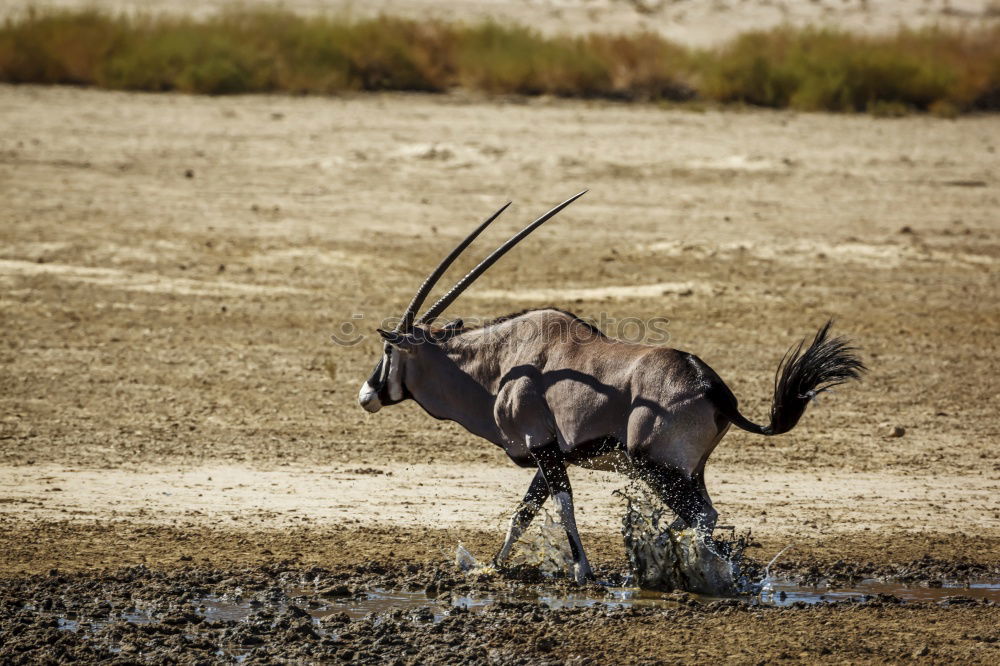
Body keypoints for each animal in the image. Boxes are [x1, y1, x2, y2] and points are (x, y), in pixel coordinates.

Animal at [356, 191, 864, 580]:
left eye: (387, 352)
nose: (366, 395)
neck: (499, 366)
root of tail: (712, 386)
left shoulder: (544, 448)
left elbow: (562, 508)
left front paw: (582, 570)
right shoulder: (551, 456)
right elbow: (523, 513)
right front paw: (493, 566)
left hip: (659, 467)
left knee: (703, 516)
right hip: (688, 471)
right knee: (703, 516)